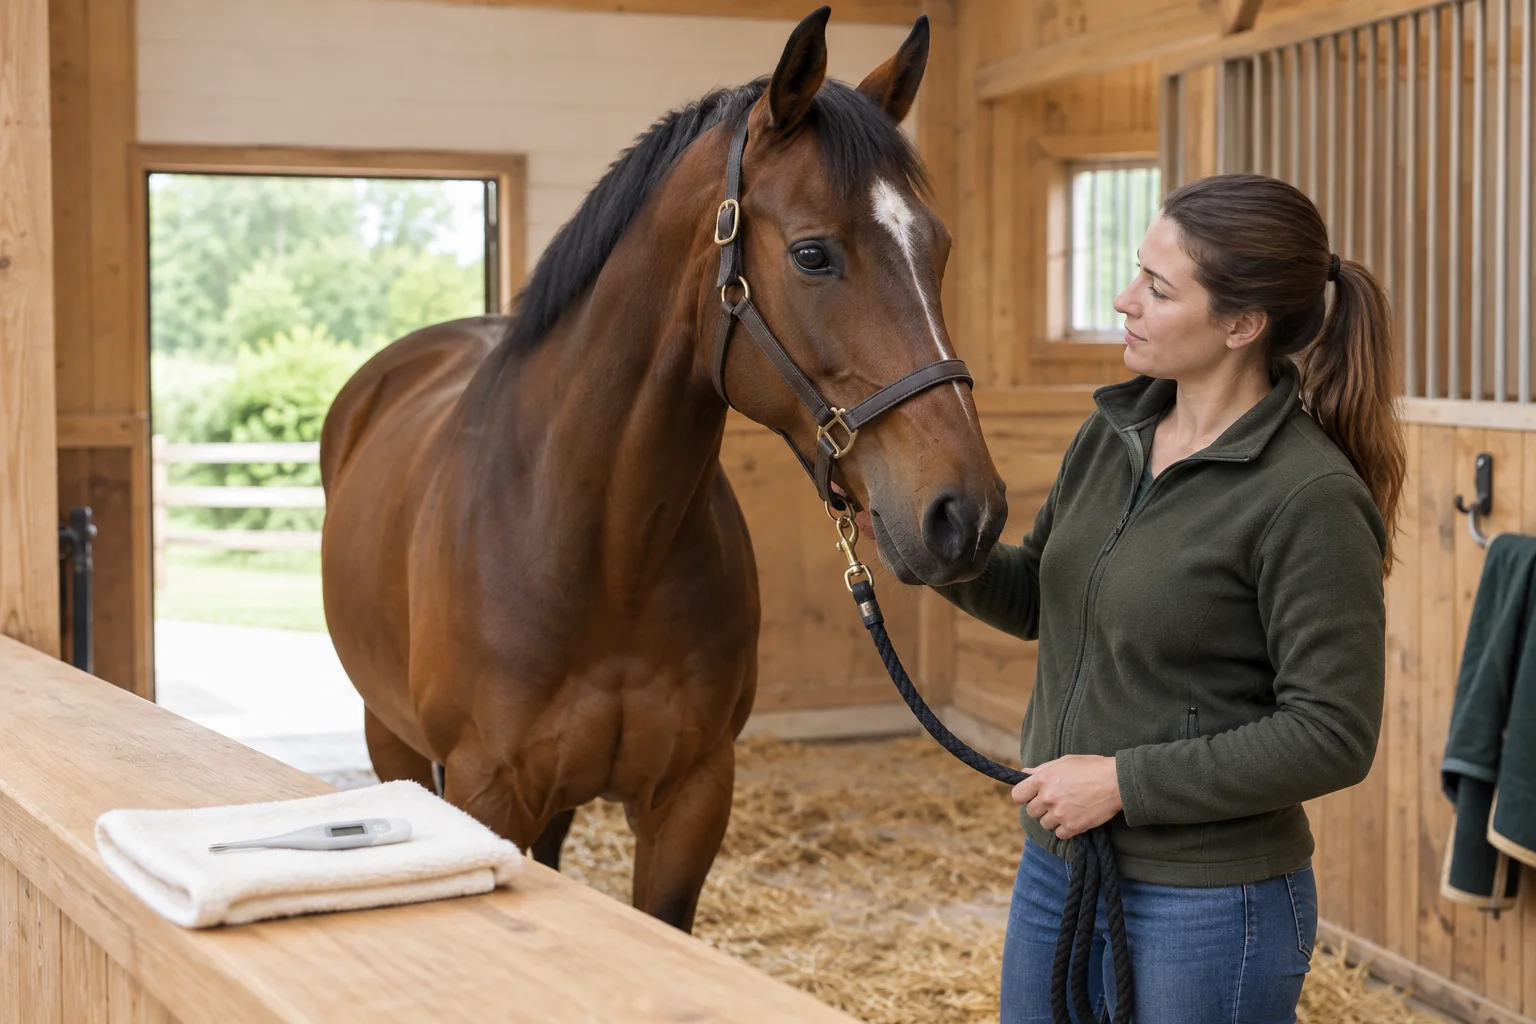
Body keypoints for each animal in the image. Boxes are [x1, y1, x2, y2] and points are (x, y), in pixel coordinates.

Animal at [318, 6, 1006, 933]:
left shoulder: (691, 796)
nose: (967, 514)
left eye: (939, 248)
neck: (606, 552)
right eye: (813, 255)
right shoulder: (485, 789)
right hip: (391, 738)